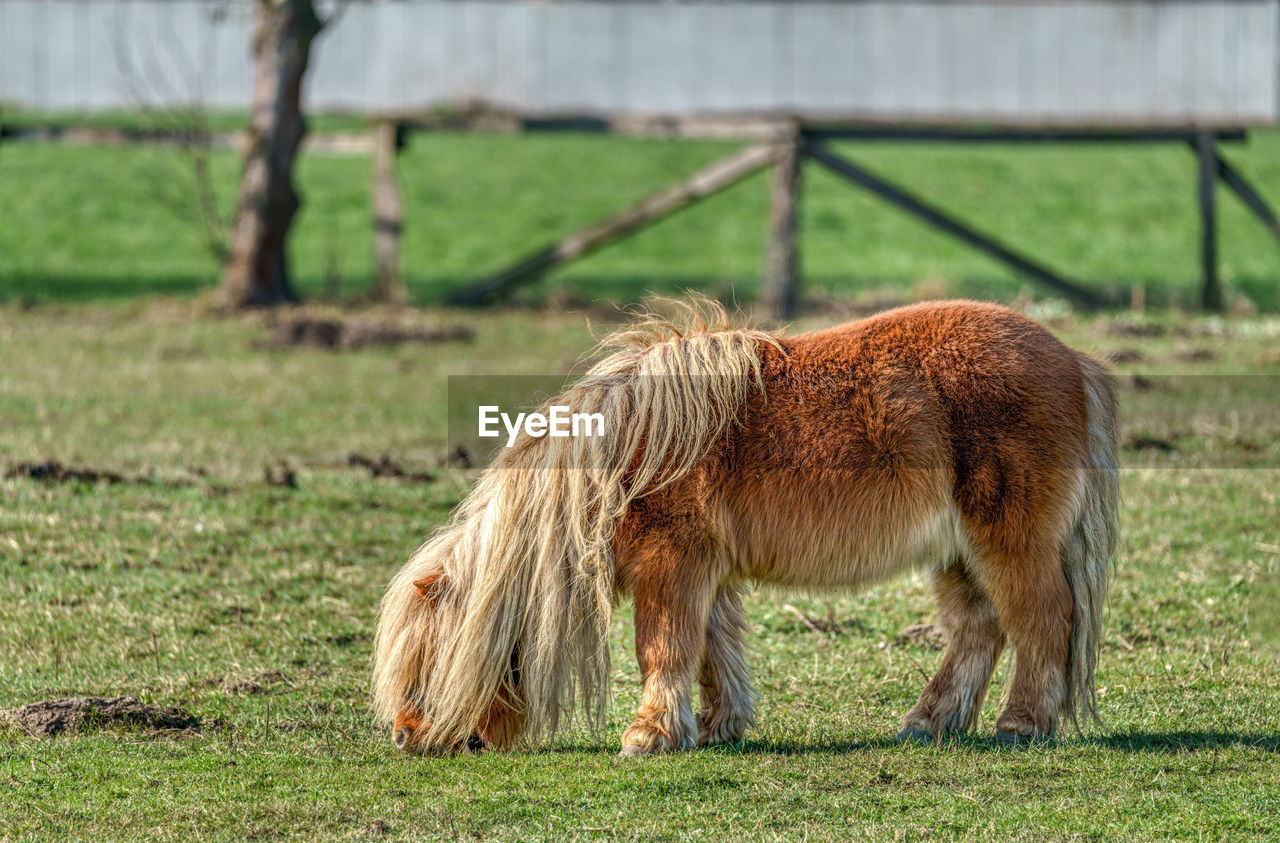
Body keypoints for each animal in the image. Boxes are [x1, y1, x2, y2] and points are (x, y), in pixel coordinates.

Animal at [373, 300, 1116, 757]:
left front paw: (648, 736)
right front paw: (716, 727)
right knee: (978, 631)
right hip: (959, 551)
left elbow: (664, 647)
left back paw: (1021, 725)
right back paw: (926, 724)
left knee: (1040, 620)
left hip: (1007, 542)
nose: (406, 736)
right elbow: (713, 650)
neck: (621, 455)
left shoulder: (671, 564)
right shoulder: (706, 571)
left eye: (426, 663)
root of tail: (1072, 359)